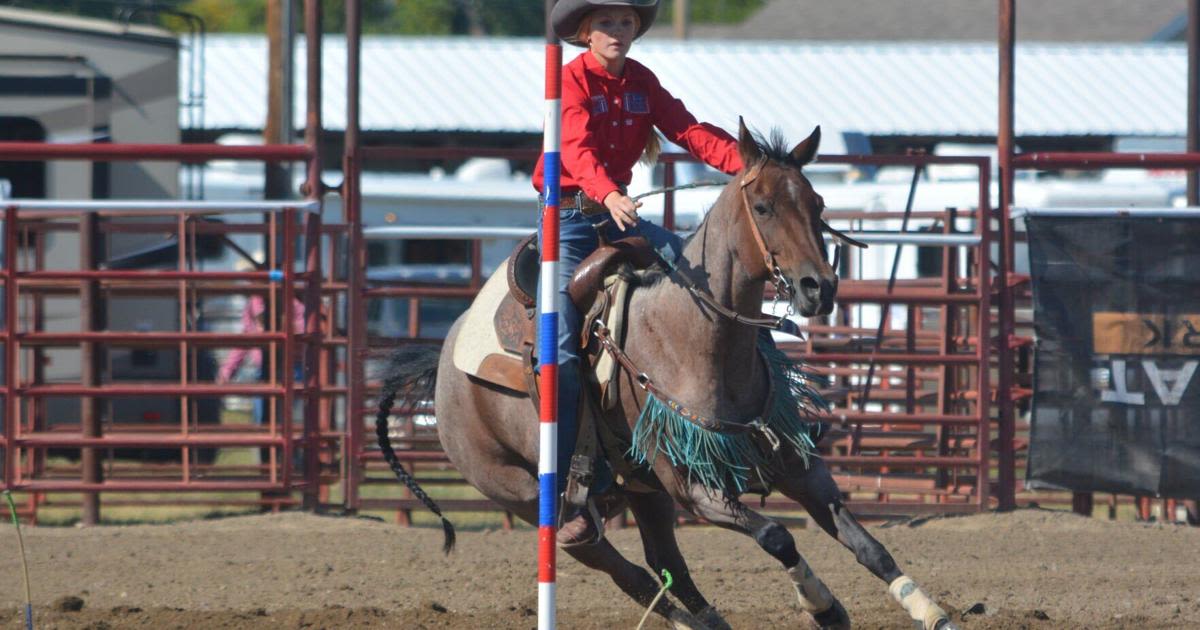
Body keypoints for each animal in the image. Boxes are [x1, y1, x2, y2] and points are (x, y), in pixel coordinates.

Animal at [379, 121, 960, 628]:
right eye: (764, 206)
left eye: (816, 204)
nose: (820, 288)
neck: (698, 340)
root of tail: (443, 360)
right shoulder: (693, 487)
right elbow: (777, 536)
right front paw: (823, 607)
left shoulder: (796, 464)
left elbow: (868, 545)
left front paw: (929, 611)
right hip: (520, 491)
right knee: (615, 563)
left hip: (644, 491)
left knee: (668, 567)